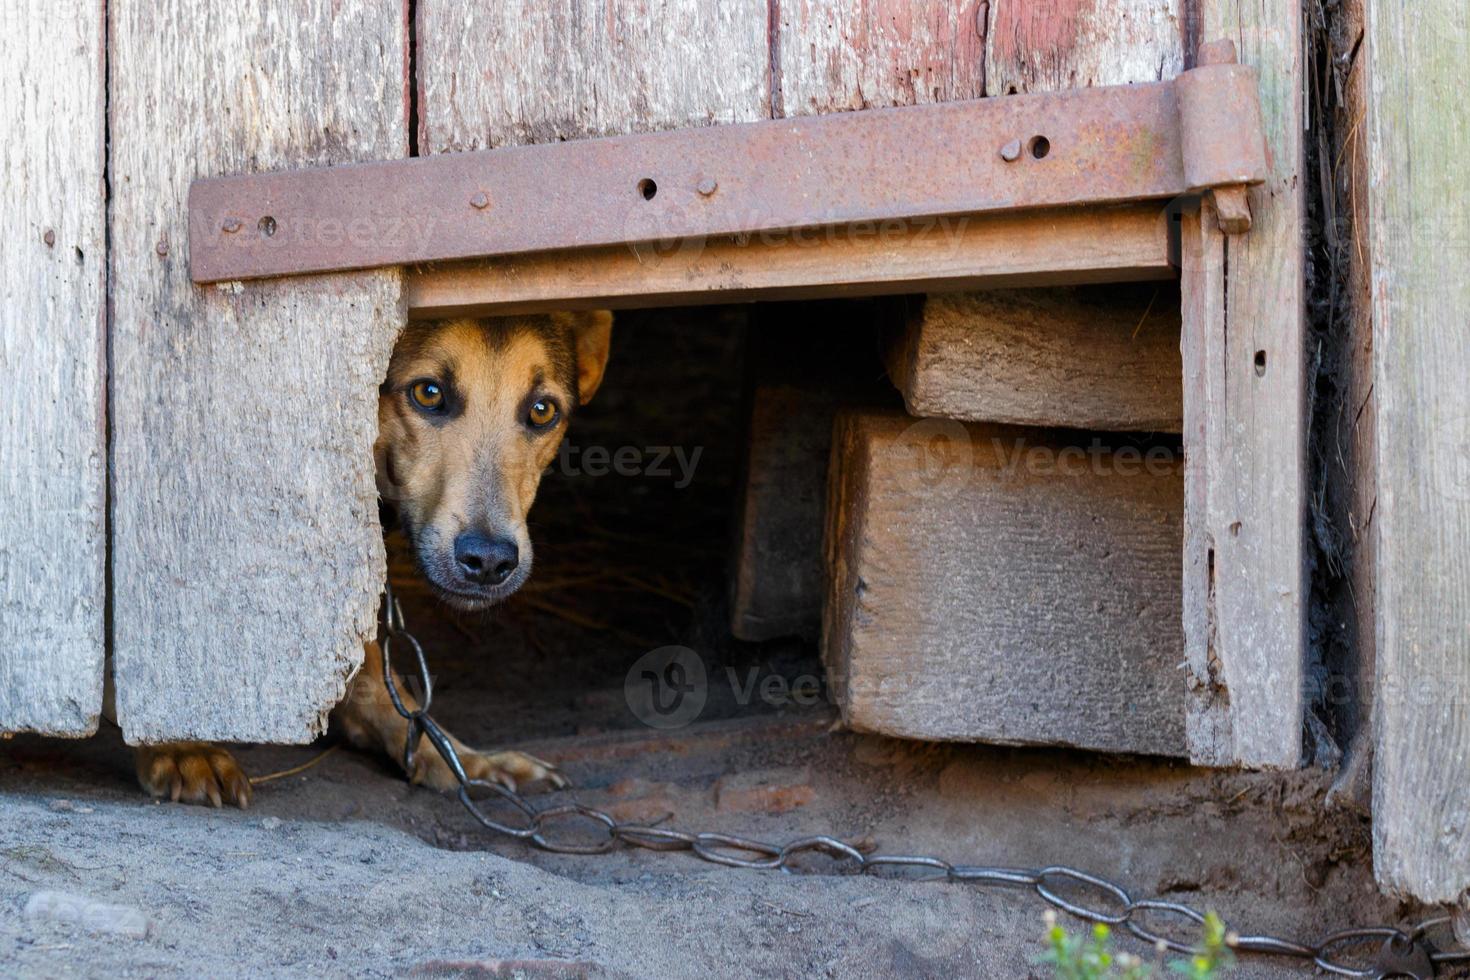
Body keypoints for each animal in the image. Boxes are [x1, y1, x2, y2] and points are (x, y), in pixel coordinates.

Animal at [132, 310, 614, 811]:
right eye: (429, 393)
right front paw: (176, 745)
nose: (488, 561)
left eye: (542, 410)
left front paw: (456, 758)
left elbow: (377, 679)